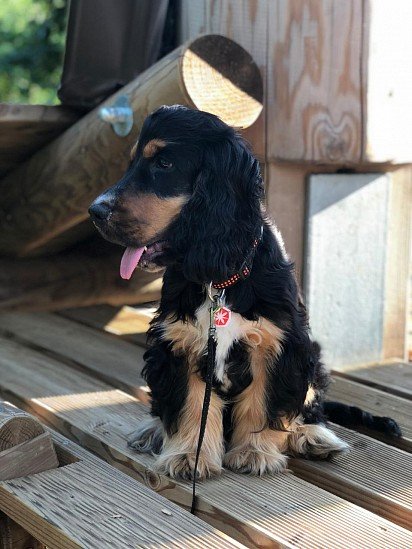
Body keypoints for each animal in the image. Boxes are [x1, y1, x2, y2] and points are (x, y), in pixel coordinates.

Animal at [89, 105, 400, 478]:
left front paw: (255, 452)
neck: (219, 280)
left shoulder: (278, 343)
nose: (95, 211)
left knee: (309, 404)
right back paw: (154, 430)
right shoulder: (178, 342)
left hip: (311, 358)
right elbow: (190, 403)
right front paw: (188, 456)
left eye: (164, 163)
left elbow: (262, 403)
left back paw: (311, 436)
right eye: (133, 163)